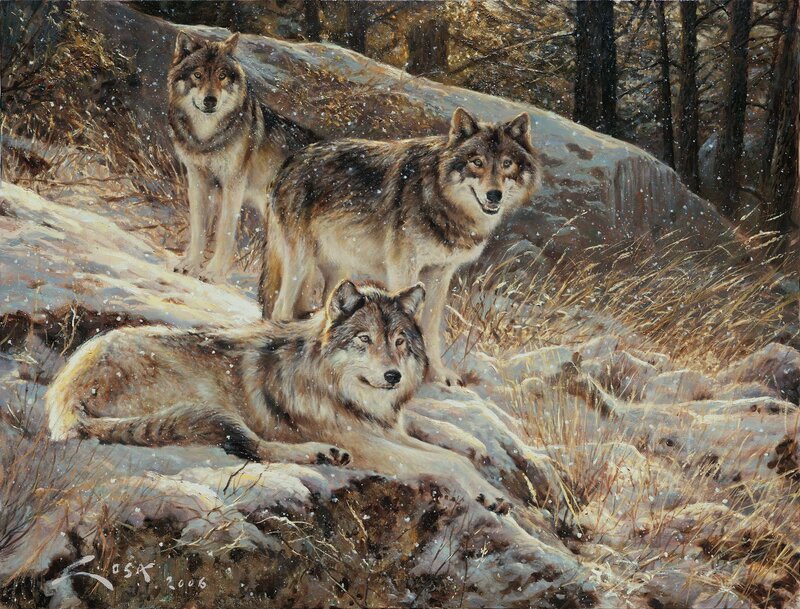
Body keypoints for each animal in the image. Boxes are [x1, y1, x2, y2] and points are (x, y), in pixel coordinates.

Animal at [45, 280, 427, 465]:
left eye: (399, 342)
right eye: (365, 339)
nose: (393, 376)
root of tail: (66, 391)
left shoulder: (389, 431)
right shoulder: (368, 443)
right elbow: (438, 462)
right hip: (204, 397)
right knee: (253, 445)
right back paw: (322, 453)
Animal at [168, 30, 315, 283]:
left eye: (222, 76)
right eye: (197, 75)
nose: (210, 100)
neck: (206, 138)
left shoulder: (233, 185)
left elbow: (224, 232)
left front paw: (212, 272)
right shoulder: (198, 181)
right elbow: (198, 228)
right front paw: (190, 264)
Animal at [260, 108, 541, 385]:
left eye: (507, 163)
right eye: (477, 162)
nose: (495, 195)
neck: (439, 200)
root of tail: (291, 160)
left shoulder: (441, 274)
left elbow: (431, 326)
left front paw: (437, 374)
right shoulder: (404, 269)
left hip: (338, 272)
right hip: (299, 264)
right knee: (280, 308)